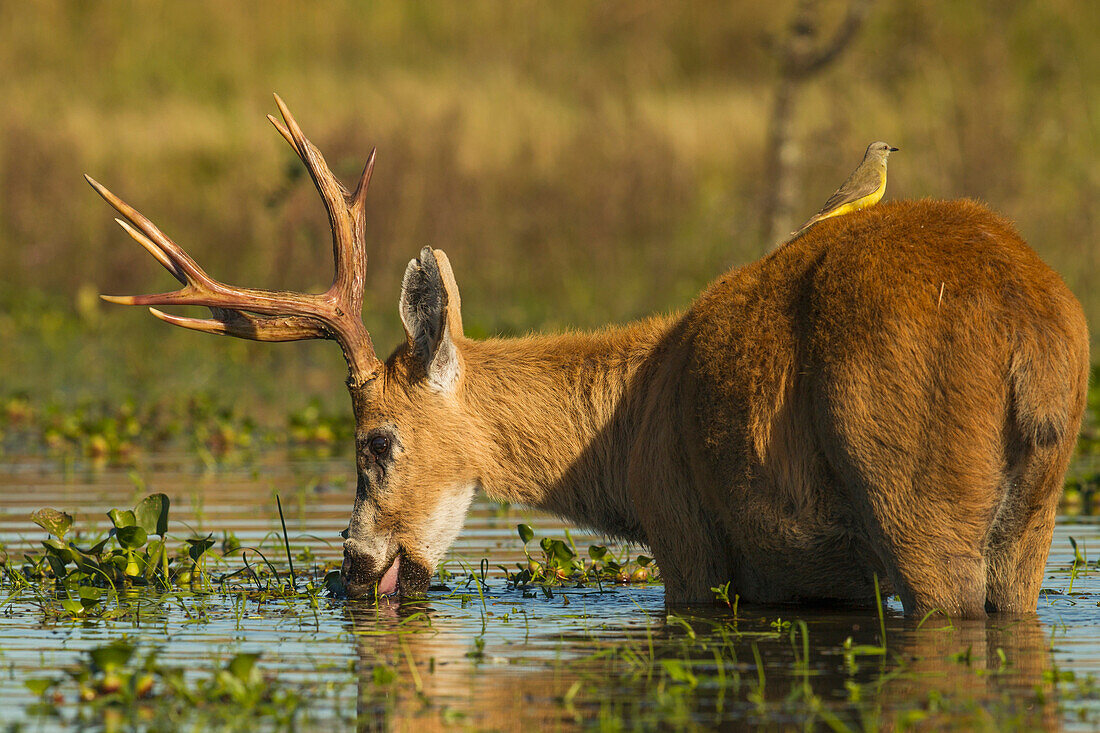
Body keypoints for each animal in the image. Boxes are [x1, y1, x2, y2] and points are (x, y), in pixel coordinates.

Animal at [92, 94, 1091, 611]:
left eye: (374, 439)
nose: (352, 568)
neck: (626, 424)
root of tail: (1032, 330)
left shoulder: (688, 537)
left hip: (913, 492)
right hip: (1033, 514)